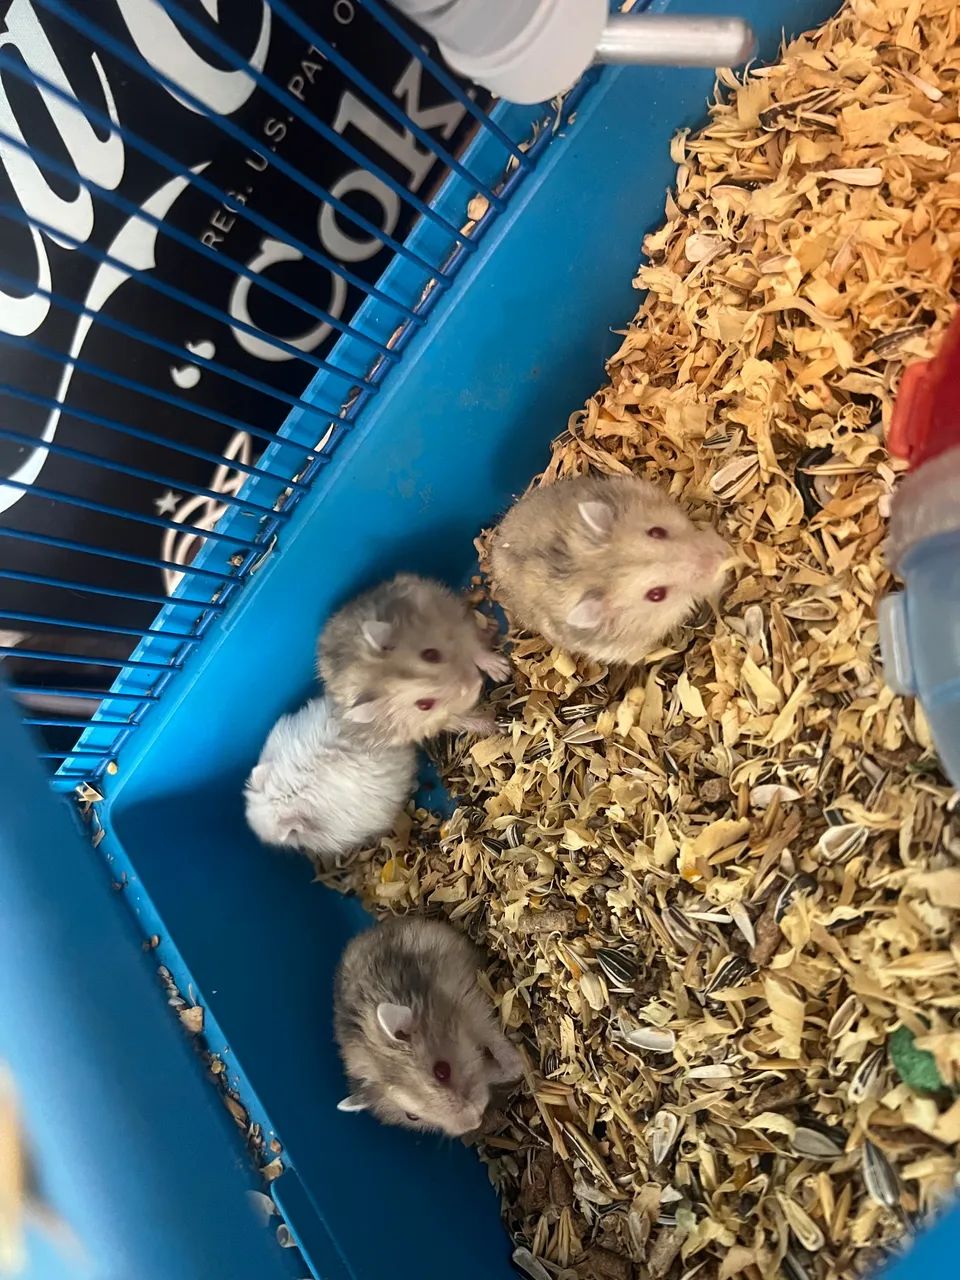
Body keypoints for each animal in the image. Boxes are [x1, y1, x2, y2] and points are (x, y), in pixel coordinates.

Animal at [317, 572, 510, 745]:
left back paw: (491, 628)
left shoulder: (449, 622)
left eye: (431, 654)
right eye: (424, 706)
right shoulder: (432, 723)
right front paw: (494, 727)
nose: (477, 683)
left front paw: (503, 672)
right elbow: (460, 719)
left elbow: (473, 647)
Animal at [333, 915, 523, 1137]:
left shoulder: (472, 1006)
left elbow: (495, 1041)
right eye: (412, 1116)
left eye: (442, 1071)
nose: (475, 1122)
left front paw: (518, 1069)